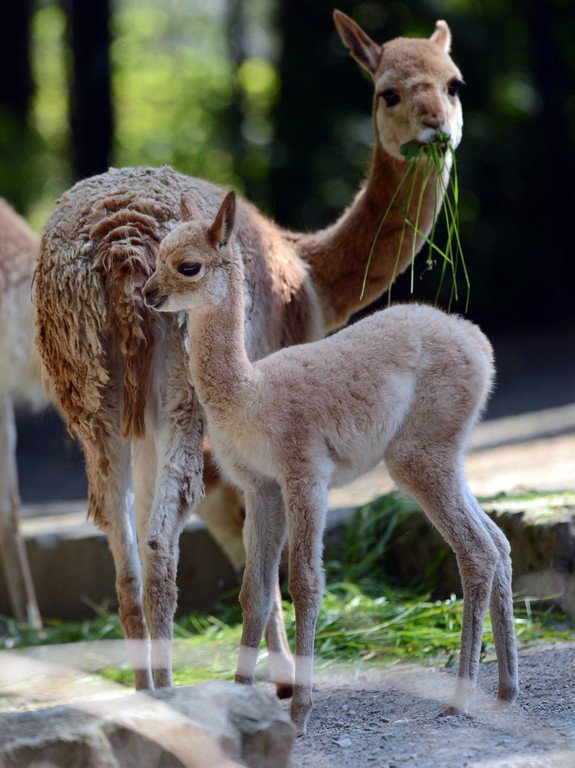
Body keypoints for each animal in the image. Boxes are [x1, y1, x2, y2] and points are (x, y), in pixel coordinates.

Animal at [34, 10, 466, 693]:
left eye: (453, 83)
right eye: (387, 92)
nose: (435, 129)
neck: (311, 277)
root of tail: (116, 247)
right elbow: (261, 548)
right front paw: (283, 675)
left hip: (92, 396)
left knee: (123, 545)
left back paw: (145, 688)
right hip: (180, 398)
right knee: (161, 544)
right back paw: (169, 692)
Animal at [142, 189, 519, 735]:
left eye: (188, 266)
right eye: (155, 258)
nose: (148, 294)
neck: (251, 395)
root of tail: (475, 340)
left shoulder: (305, 473)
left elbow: (305, 583)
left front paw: (299, 714)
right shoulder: (261, 486)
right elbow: (255, 592)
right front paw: (240, 702)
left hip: (418, 453)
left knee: (477, 551)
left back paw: (460, 698)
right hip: (447, 450)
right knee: (500, 542)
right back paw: (507, 689)